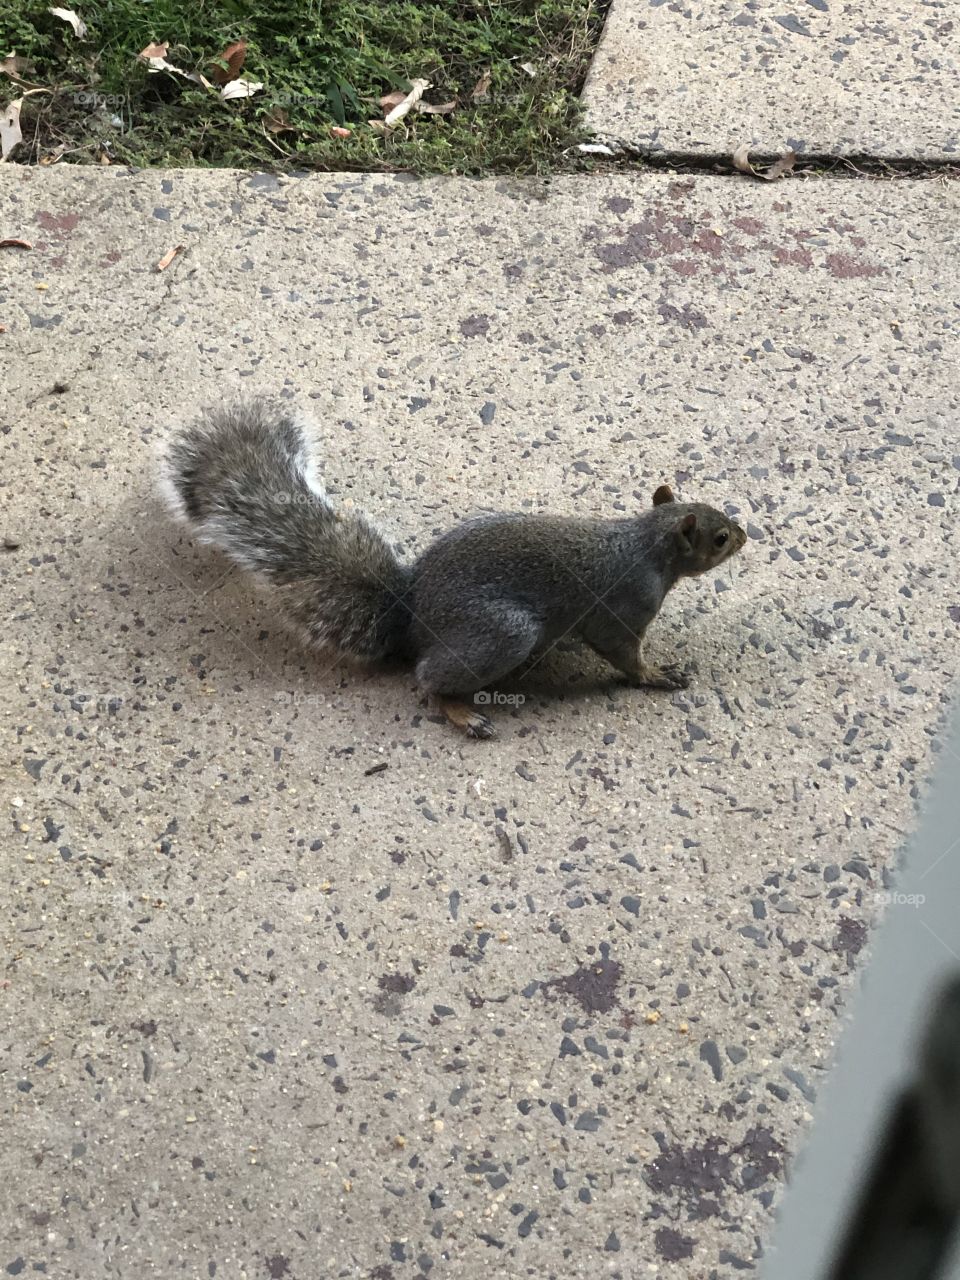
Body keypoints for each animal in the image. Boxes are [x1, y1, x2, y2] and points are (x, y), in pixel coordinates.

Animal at [158, 399, 746, 738]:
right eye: (718, 538)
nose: (745, 536)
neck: (646, 544)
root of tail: (411, 615)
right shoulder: (623, 609)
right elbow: (624, 655)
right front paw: (658, 675)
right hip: (504, 632)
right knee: (427, 679)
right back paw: (462, 712)